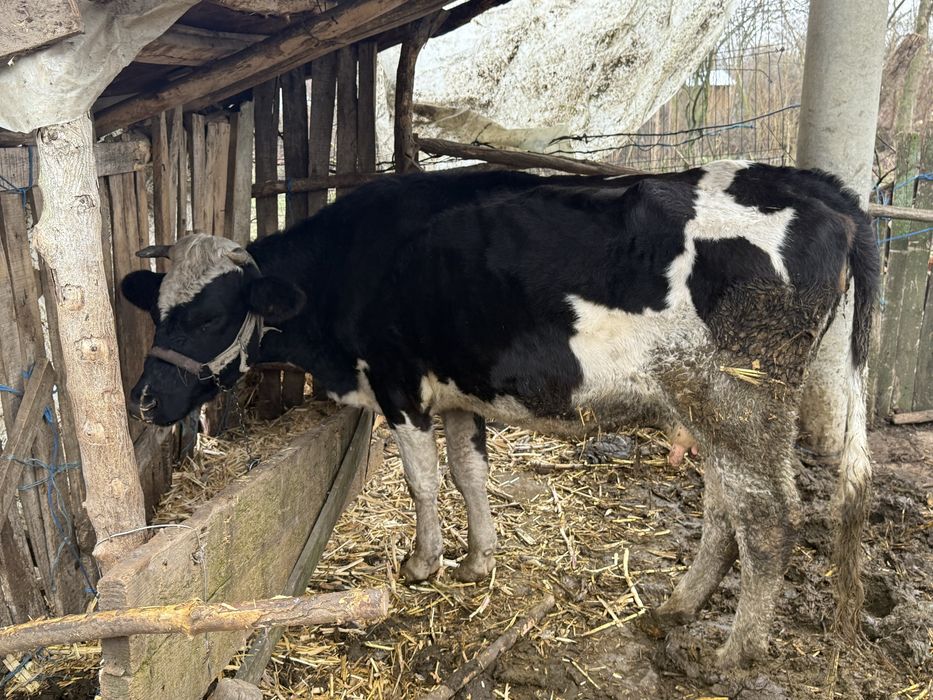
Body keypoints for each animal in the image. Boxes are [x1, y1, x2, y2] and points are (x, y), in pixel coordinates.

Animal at [120, 161, 879, 670]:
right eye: (156, 308)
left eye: (209, 315)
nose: (146, 399)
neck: (348, 265)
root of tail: (813, 186)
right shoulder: (460, 392)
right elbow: (468, 476)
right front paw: (477, 560)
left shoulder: (399, 384)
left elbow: (424, 482)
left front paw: (423, 563)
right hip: (719, 404)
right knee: (732, 509)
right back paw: (679, 606)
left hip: (739, 400)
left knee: (769, 520)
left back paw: (736, 653)